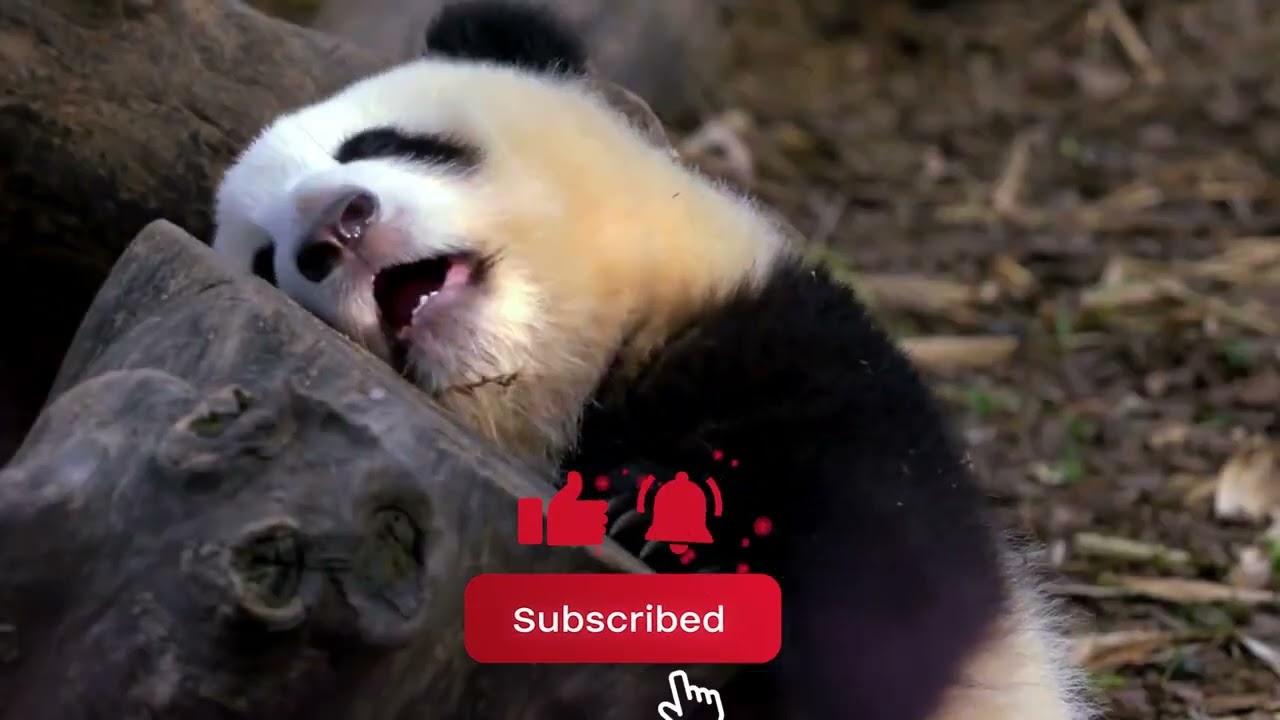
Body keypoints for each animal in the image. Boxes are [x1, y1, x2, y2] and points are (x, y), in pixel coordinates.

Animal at [210, 2, 1096, 719]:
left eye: (382, 142)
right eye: (266, 262)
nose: (335, 226)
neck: (560, 385)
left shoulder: (796, 346)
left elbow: (885, 580)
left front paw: (653, 512)